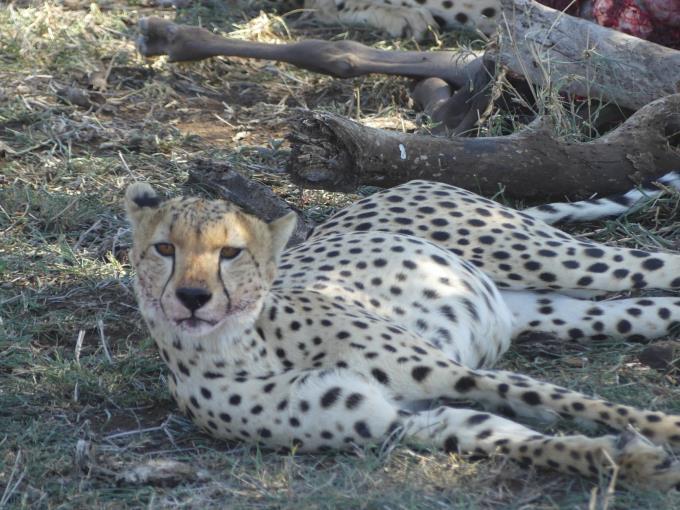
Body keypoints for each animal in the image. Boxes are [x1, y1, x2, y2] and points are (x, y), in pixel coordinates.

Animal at [123, 176, 680, 490]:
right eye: (165, 248)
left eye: (230, 252)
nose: (192, 297)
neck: (240, 346)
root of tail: (405, 185)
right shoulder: (402, 421)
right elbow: (516, 439)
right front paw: (625, 461)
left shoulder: (454, 374)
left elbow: (588, 404)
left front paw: (663, 432)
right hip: (550, 309)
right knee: (648, 307)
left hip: (553, 258)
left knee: (657, 262)